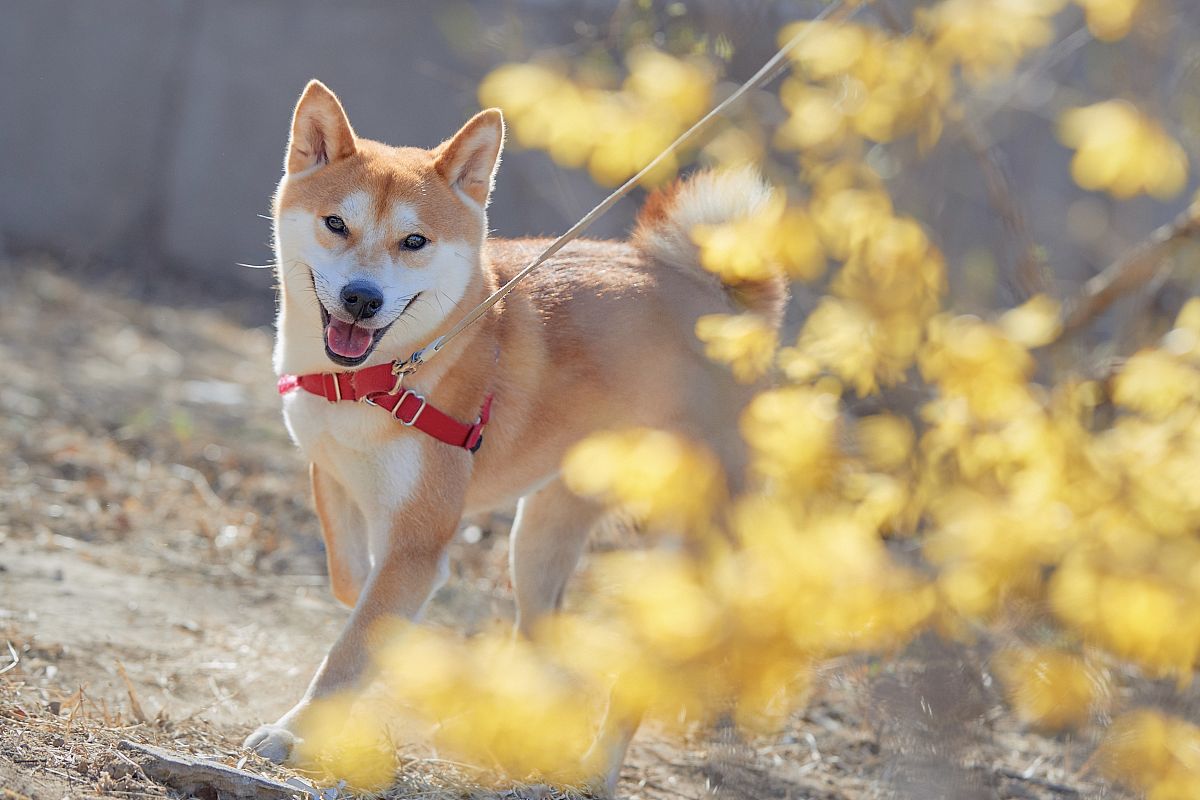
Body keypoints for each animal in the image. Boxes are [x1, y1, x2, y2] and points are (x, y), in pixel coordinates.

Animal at [244, 79, 787, 786]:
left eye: (414, 241)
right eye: (336, 223)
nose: (362, 297)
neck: (373, 380)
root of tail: (725, 308)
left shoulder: (420, 536)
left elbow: (352, 646)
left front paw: (294, 732)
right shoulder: (331, 474)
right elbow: (351, 584)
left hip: (681, 555)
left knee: (640, 677)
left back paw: (595, 769)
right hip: (537, 539)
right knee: (547, 639)